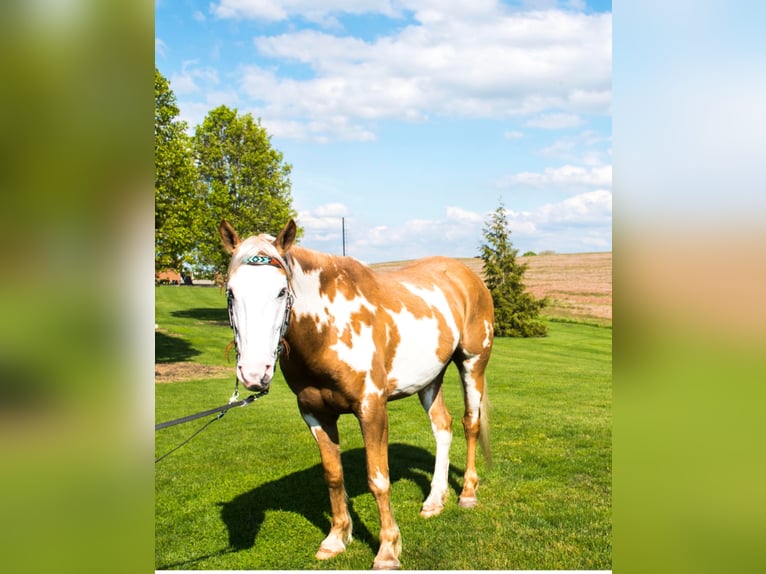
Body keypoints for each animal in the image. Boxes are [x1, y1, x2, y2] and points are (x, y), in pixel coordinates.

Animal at [219, 219, 496, 572]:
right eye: (231, 292)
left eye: (281, 291)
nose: (254, 373)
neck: (328, 329)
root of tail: (469, 277)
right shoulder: (314, 413)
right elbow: (333, 476)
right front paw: (336, 539)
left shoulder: (371, 408)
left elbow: (378, 479)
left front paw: (388, 550)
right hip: (430, 377)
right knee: (442, 428)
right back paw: (434, 500)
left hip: (473, 363)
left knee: (469, 423)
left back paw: (468, 494)